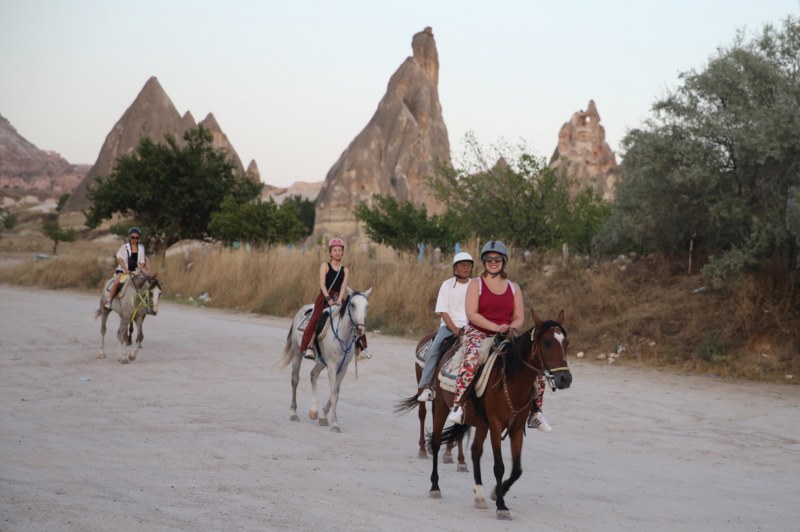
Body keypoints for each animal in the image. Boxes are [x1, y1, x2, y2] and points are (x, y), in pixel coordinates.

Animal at [282, 286, 374, 432]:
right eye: (353, 305)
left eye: (367, 306)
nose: (360, 329)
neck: (342, 335)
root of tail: (302, 309)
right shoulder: (332, 366)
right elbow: (334, 394)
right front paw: (335, 424)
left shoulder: (343, 368)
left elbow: (336, 392)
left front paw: (323, 416)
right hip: (297, 353)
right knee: (295, 380)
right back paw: (293, 414)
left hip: (321, 361)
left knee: (313, 375)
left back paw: (313, 412)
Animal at [394, 330, 468, 472]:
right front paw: (460, 460)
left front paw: (452, 455)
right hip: (421, 383)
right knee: (422, 413)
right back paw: (423, 449)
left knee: (435, 414)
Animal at [428, 310, 572, 520]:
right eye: (547, 342)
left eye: (566, 343)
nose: (565, 379)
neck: (512, 381)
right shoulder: (496, 426)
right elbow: (499, 466)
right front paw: (502, 506)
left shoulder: (516, 428)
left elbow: (517, 469)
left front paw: (498, 492)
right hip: (440, 408)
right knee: (436, 443)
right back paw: (435, 486)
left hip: (481, 423)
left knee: (475, 452)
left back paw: (479, 495)